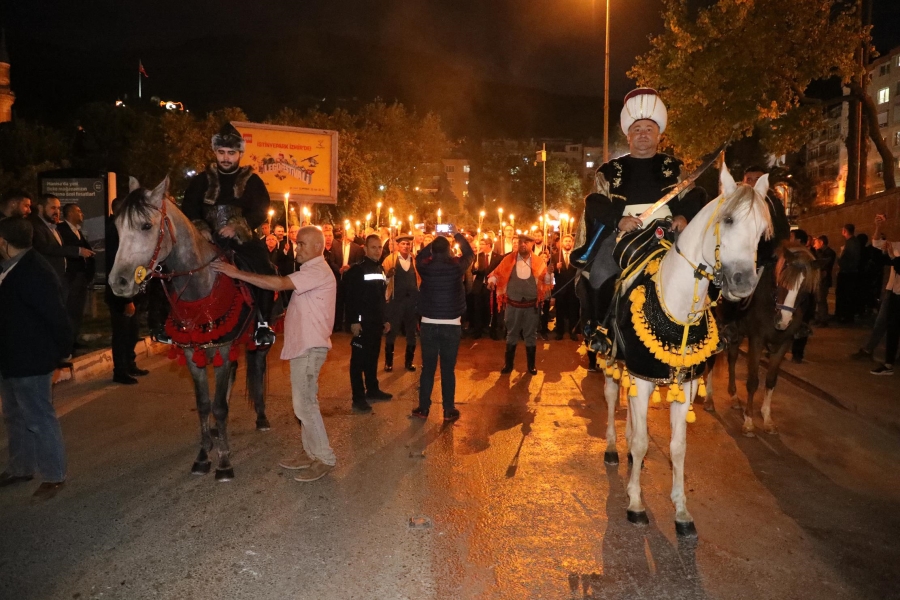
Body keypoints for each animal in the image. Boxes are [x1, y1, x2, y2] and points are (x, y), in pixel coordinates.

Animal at [109, 176, 270, 480]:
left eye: (146, 226)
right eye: (117, 227)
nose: (118, 283)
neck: (201, 285)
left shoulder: (222, 349)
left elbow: (219, 406)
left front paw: (224, 462)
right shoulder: (193, 354)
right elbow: (205, 404)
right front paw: (204, 455)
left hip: (259, 342)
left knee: (258, 370)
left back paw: (262, 417)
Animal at [600, 162, 768, 536]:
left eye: (763, 230)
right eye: (728, 220)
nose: (744, 283)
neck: (676, 307)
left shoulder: (684, 384)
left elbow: (677, 447)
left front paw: (681, 510)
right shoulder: (642, 375)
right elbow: (642, 440)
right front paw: (635, 503)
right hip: (610, 357)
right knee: (612, 396)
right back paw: (613, 447)